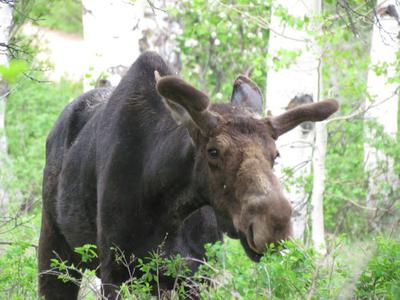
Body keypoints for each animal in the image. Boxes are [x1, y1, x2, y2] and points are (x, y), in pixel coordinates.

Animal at [39, 51, 338, 298]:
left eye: (275, 155)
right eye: (213, 151)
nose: (274, 224)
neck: (167, 210)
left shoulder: (196, 276)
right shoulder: (115, 272)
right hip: (55, 252)